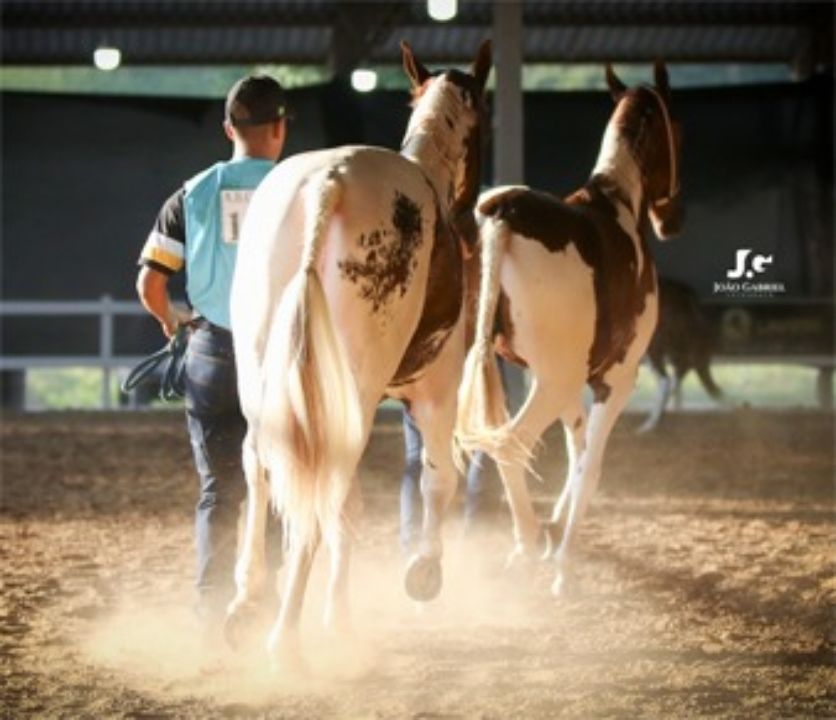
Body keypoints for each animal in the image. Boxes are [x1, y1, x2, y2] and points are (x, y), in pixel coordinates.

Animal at [225, 42, 494, 668]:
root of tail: (331, 182)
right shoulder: (435, 393)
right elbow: (437, 482)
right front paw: (424, 573)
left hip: (264, 376)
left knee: (262, 464)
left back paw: (250, 601)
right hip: (354, 396)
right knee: (328, 481)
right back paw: (288, 637)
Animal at [458, 62, 684, 592]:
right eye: (679, 130)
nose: (673, 219)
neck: (616, 202)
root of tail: (502, 212)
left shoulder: (566, 380)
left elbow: (576, 447)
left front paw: (556, 528)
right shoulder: (614, 380)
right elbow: (591, 464)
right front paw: (562, 559)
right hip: (554, 381)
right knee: (511, 445)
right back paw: (524, 546)